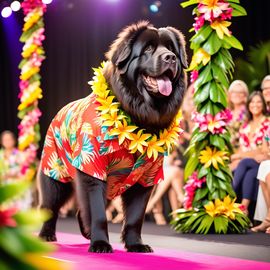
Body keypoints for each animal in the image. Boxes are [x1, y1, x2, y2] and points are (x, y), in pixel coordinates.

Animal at [38, 21, 188, 253]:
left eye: (171, 49)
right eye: (148, 49)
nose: (170, 58)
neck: (137, 117)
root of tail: (60, 110)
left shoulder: (146, 176)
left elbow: (135, 216)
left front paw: (136, 244)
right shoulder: (93, 168)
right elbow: (98, 212)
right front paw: (100, 243)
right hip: (55, 174)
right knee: (50, 206)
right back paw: (47, 235)